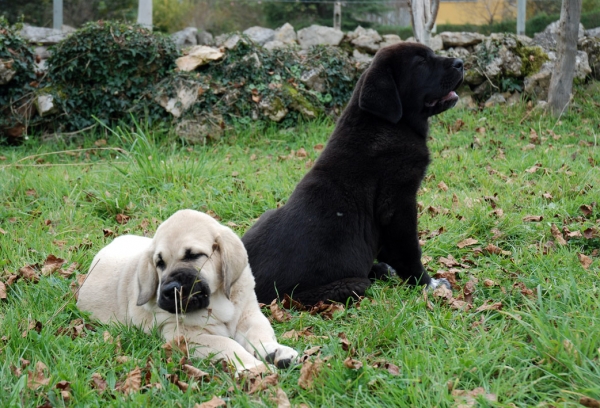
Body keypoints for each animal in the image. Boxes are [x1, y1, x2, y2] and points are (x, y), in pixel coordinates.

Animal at [244, 43, 464, 306]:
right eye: (421, 62)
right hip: (344, 287)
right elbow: (409, 249)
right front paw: (428, 285)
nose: (461, 63)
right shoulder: (398, 202)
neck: (388, 124)